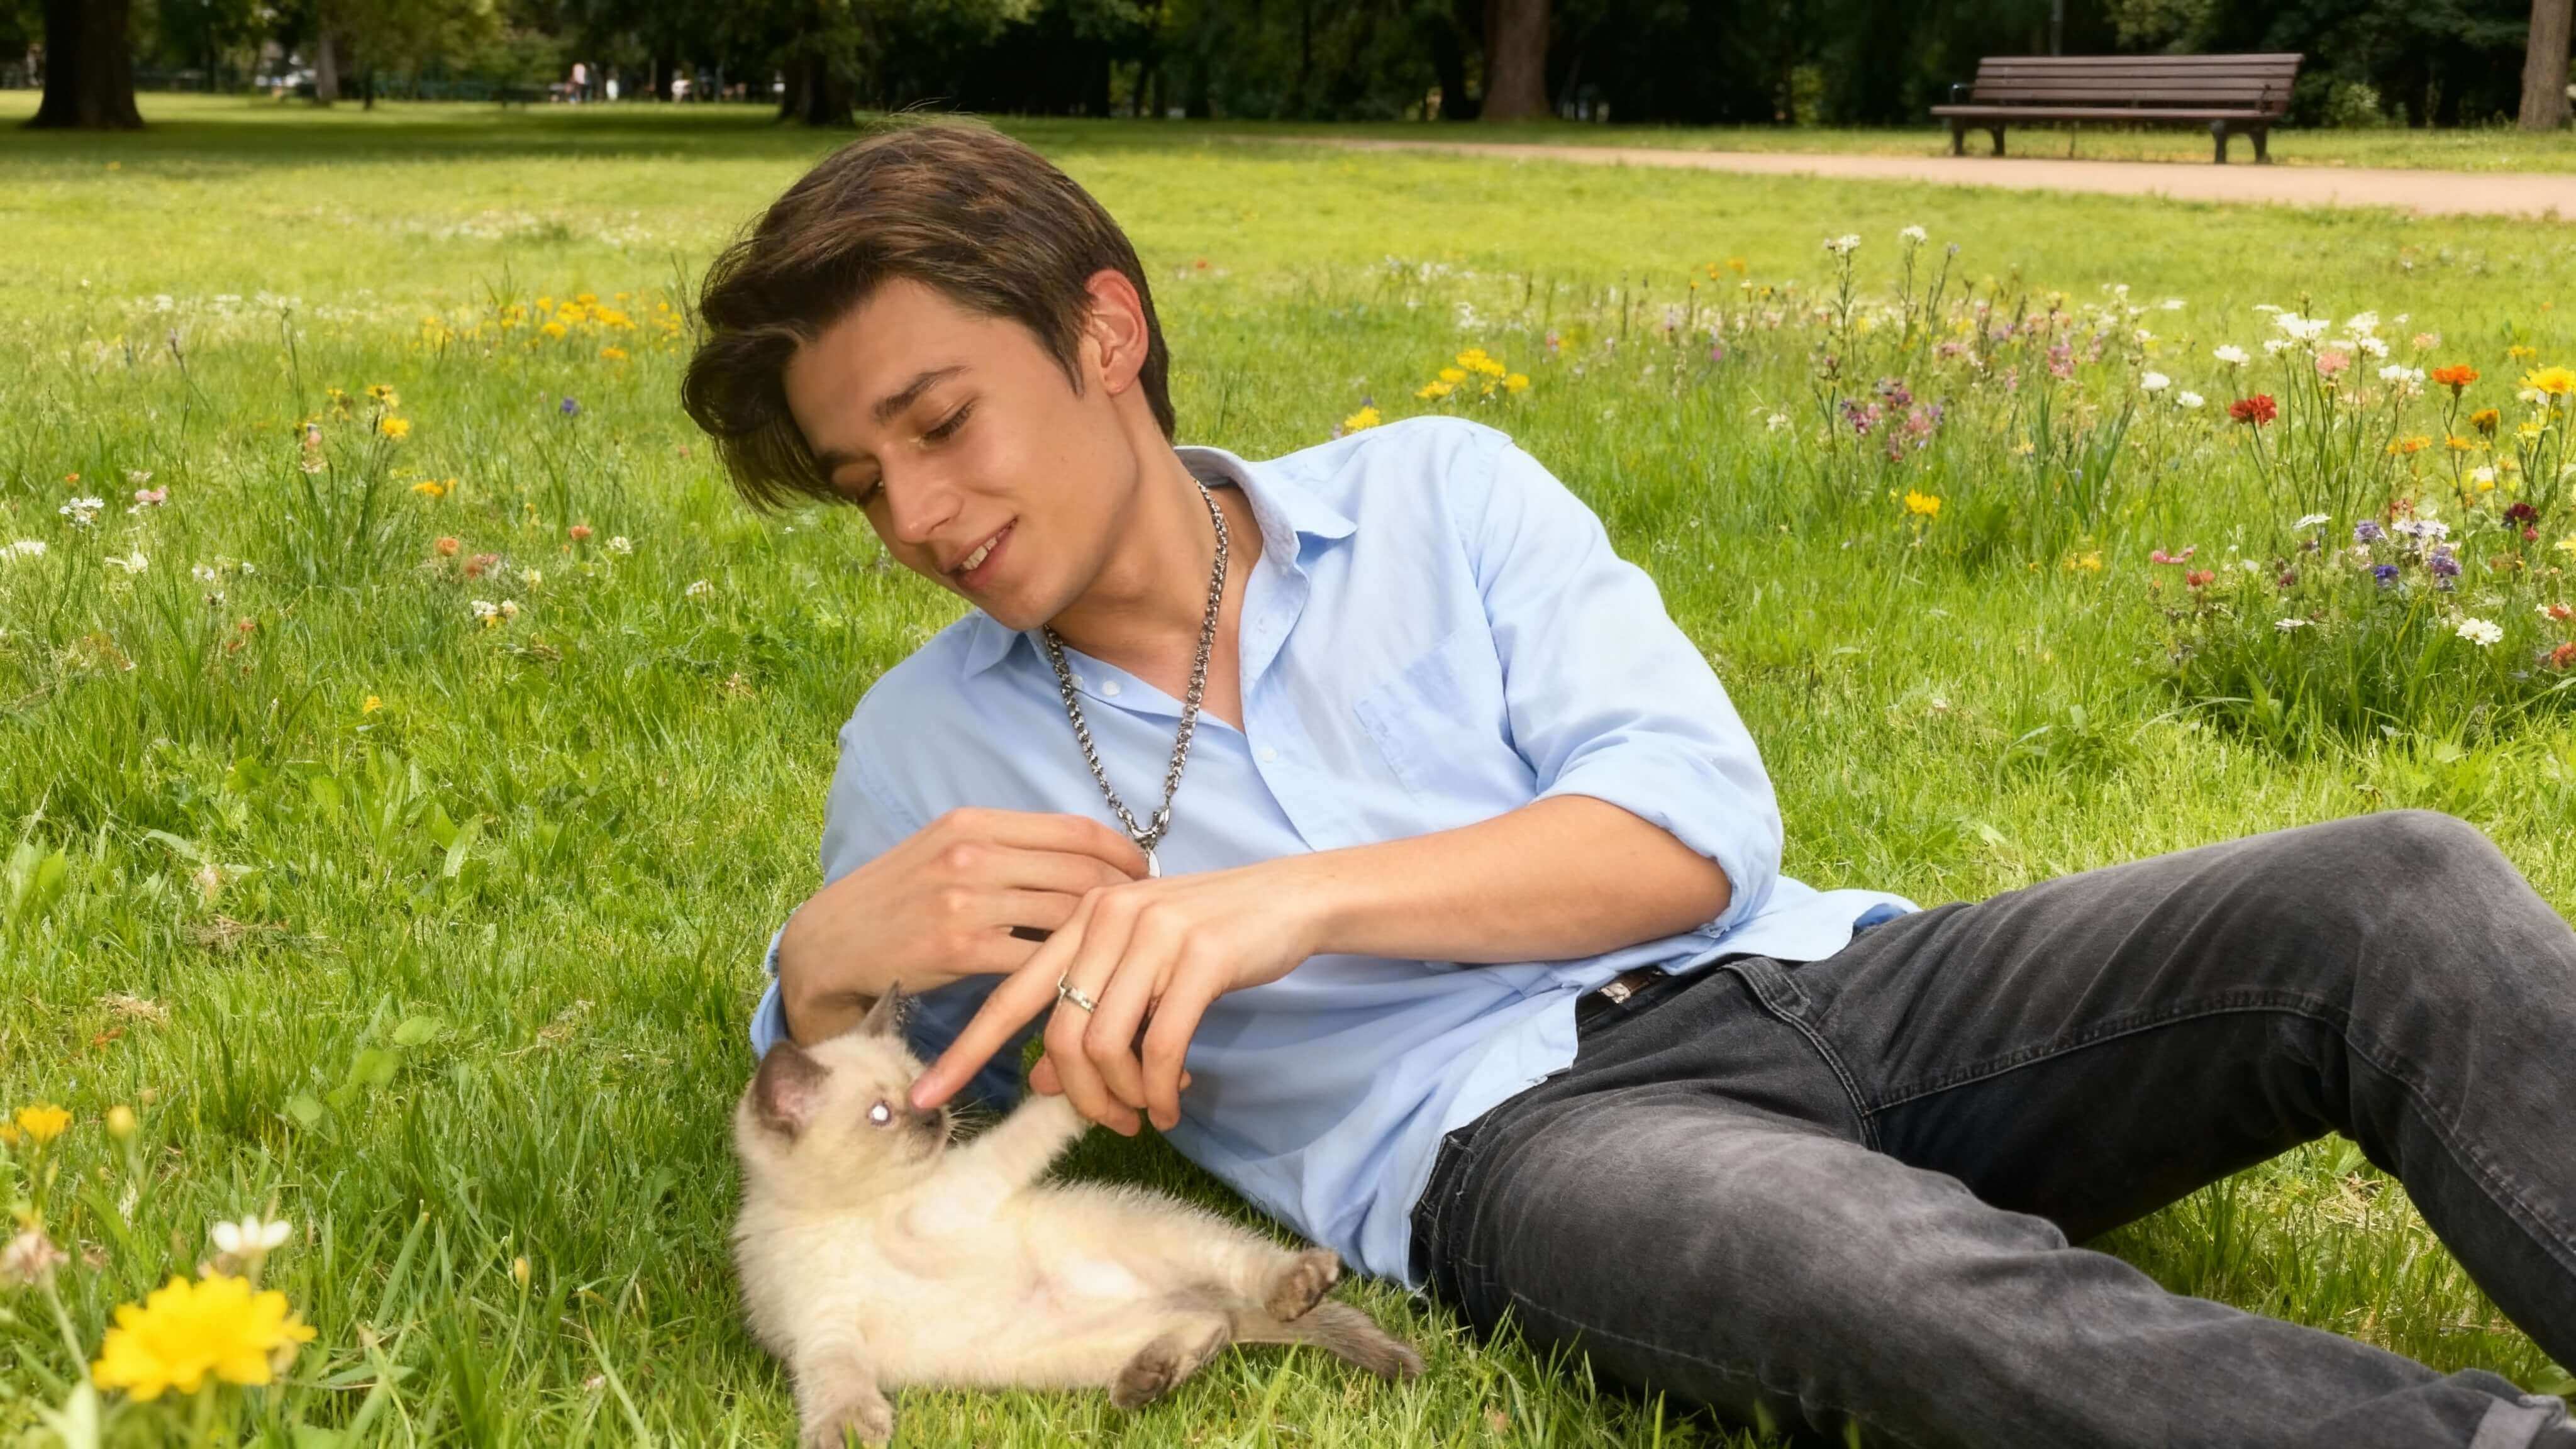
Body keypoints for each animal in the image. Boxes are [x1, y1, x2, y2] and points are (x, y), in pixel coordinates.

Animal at [729, 988, 1424, 1448]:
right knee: (1213, 1324)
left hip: (1169, 1239)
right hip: (1068, 1350)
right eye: (881, 1113)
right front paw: (848, 1431)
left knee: (1242, 1280)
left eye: (920, 1084)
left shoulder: (957, 1194)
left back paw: (1285, 1291)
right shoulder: (821, 1322)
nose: (936, 1117)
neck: (853, 1214)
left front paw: (1123, 1043)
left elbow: (1044, 1116)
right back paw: (1151, 1377)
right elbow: (834, 1378)